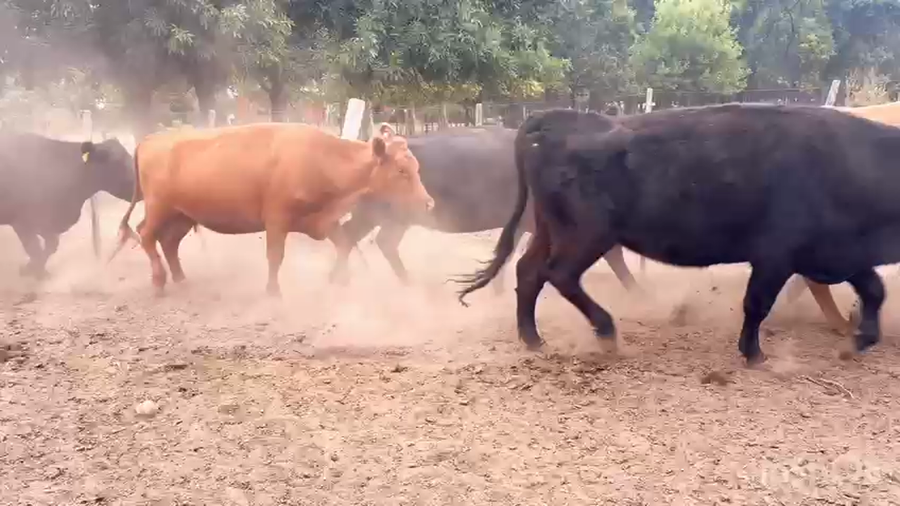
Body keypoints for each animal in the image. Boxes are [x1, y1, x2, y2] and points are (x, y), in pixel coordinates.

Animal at [0, 131, 134, 278]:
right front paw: (34, 272)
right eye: (116, 162)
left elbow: (50, 246)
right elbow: (34, 249)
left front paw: (33, 269)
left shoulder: (46, 224)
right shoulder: (23, 222)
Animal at [109, 122, 434, 296]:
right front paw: (273, 291)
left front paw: (340, 279)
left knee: (169, 241)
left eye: (417, 167)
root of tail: (151, 139)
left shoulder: (323, 220)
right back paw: (159, 281)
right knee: (146, 235)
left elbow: (344, 245)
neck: (321, 159)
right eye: (402, 170)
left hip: (183, 214)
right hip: (159, 208)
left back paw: (180, 278)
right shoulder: (277, 219)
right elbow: (275, 256)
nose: (428, 203)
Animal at [456, 104, 900, 366]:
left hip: (552, 229)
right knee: (558, 274)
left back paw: (533, 339)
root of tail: (557, 119)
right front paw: (754, 354)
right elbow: (757, 304)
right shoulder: (775, 256)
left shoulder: (838, 253)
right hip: (587, 235)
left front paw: (858, 340)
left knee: (529, 272)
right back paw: (606, 332)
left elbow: (875, 290)